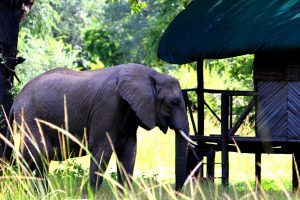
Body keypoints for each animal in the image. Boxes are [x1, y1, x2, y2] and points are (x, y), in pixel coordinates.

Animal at [2, 63, 197, 191]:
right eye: (174, 102)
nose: (177, 191)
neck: (151, 74)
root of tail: (16, 101)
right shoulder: (108, 107)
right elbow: (102, 150)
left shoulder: (131, 112)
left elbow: (129, 152)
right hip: (30, 117)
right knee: (40, 153)